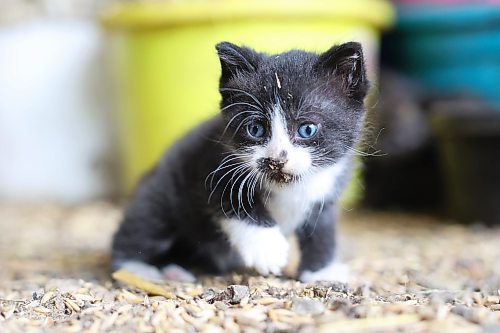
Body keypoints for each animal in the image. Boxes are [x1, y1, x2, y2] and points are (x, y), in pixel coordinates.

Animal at [111, 40, 370, 282]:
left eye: (307, 129)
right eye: (255, 129)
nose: (275, 160)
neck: (291, 186)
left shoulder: (327, 193)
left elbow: (322, 232)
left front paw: (321, 272)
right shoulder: (212, 167)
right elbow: (233, 203)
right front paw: (267, 249)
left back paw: (174, 270)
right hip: (158, 195)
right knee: (141, 227)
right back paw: (137, 270)